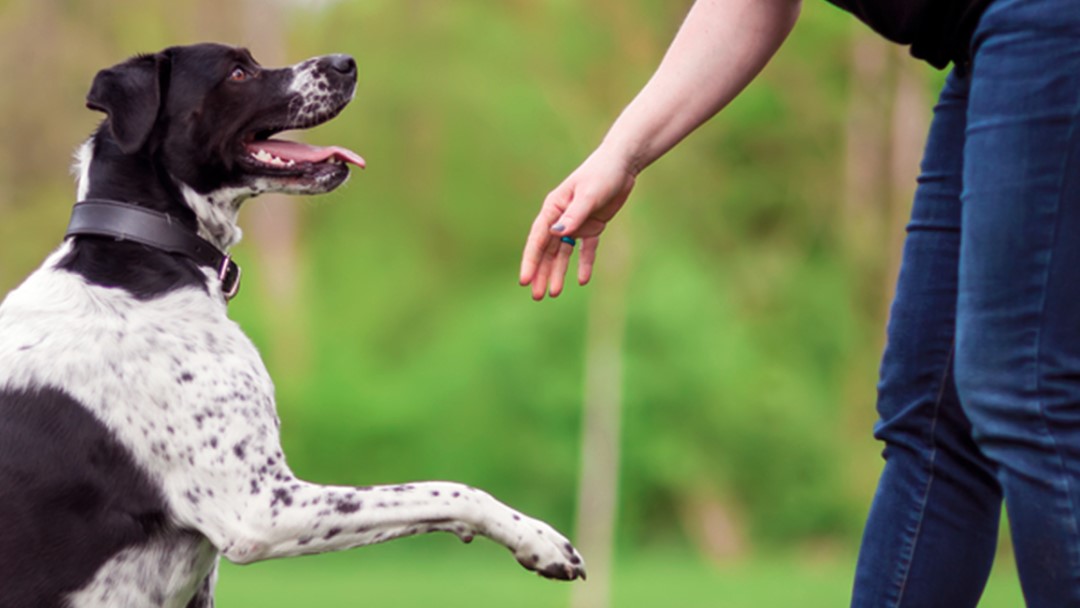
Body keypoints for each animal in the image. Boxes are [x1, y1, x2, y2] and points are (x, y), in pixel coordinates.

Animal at [0, 44, 587, 608]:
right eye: (238, 72)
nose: (345, 62)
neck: (143, 251)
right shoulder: (260, 508)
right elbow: (449, 489)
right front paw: (536, 537)